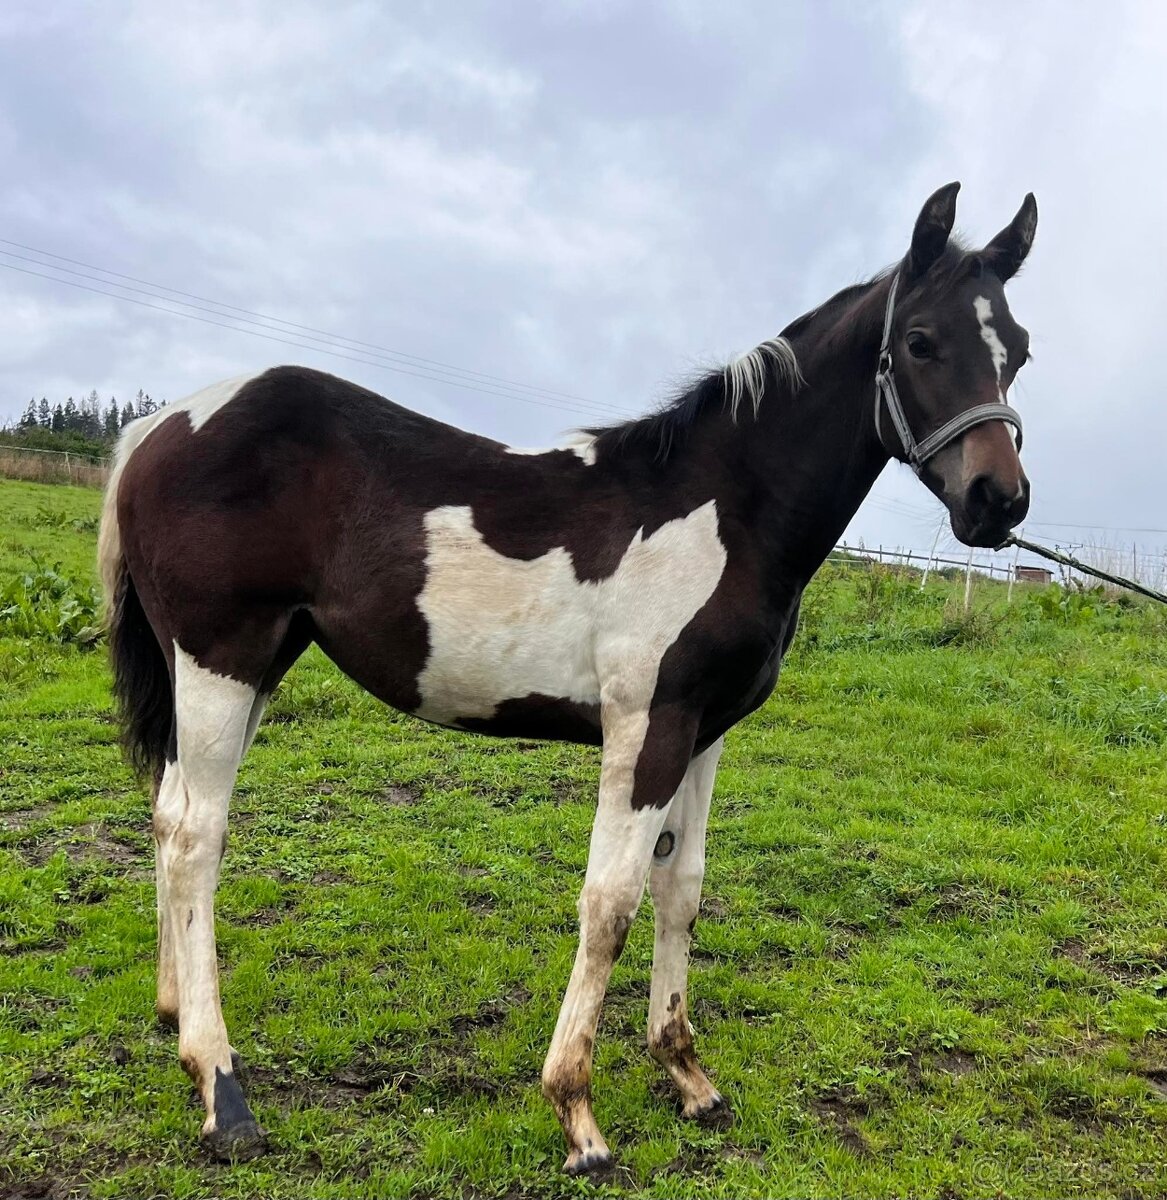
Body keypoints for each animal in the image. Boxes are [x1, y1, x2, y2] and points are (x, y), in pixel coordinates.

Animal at [98, 181, 1036, 1174]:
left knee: (167, 814)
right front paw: (576, 1113)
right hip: (221, 659)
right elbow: (610, 902)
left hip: (245, 665)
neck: (721, 511)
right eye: (921, 341)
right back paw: (222, 1090)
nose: (998, 501)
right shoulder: (645, 726)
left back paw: (172, 1015)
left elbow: (681, 888)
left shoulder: (704, 731)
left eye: (1016, 351)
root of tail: (159, 426)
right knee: (198, 837)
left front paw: (686, 1075)